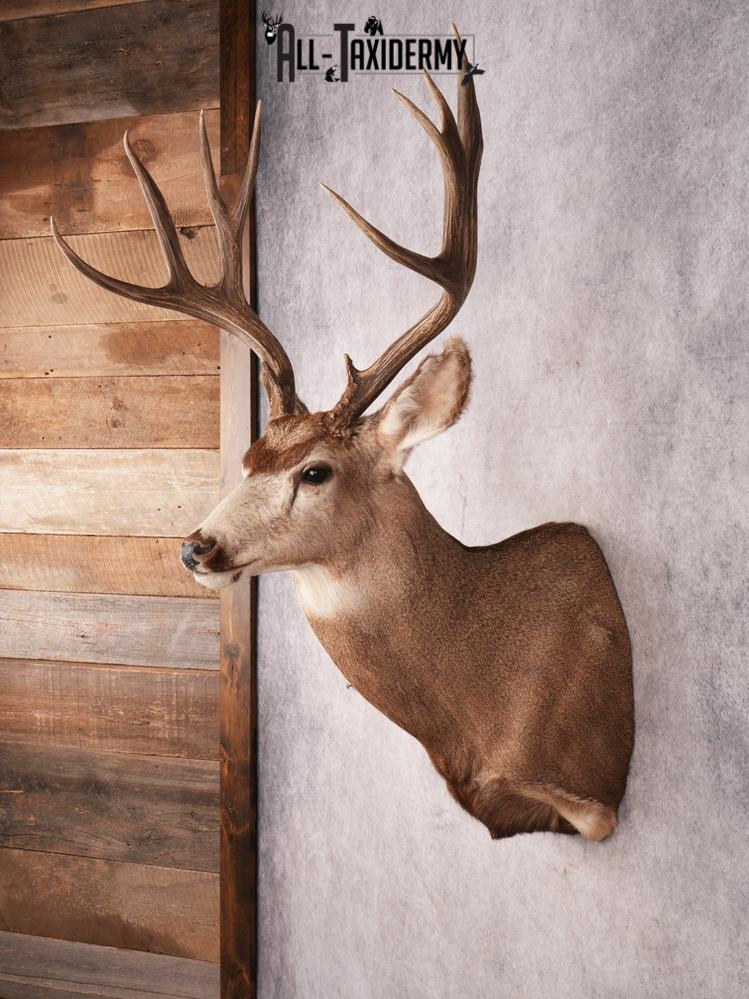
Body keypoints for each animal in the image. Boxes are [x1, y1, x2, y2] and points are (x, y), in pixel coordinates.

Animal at [51, 37, 634, 842]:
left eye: (316, 471)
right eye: (247, 458)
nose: (195, 547)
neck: (484, 718)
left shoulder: (594, 797)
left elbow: (593, 813)